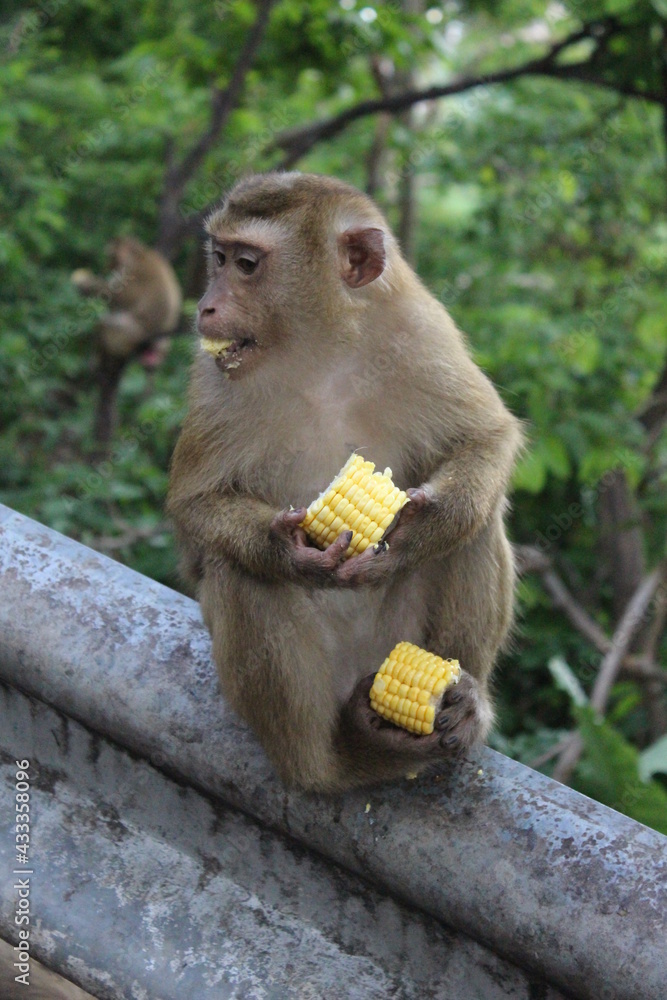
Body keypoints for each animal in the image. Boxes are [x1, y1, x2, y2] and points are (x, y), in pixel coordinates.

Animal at [72, 237, 182, 445]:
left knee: (106, 326)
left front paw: (86, 284)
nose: (108, 267)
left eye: (111, 258)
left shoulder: (131, 272)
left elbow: (116, 295)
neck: (139, 252)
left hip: (125, 335)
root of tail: (150, 340)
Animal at [167, 172, 522, 793]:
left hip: (392, 641)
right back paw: (331, 756)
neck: (323, 352)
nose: (207, 306)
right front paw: (287, 548)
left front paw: (418, 531)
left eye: (246, 264)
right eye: (220, 258)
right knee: (238, 571)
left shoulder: (423, 332)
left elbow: (486, 438)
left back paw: (459, 707)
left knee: (477, 525)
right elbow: (195, 507)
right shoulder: (212, 376)